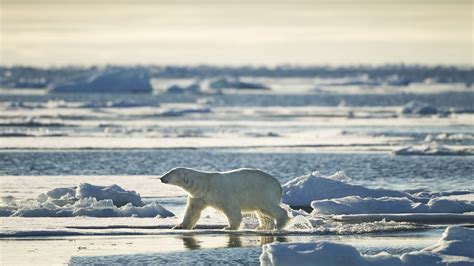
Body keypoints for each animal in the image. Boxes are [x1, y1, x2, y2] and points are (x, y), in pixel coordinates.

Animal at [161, 167, 290, 230]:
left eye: (170, 172)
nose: (161, 178)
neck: (205, 184)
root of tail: (279, 185)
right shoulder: (198, 196)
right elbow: (192, 211)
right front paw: (179, 226)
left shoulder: (224, 194)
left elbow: (232, 211)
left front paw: (228, 227)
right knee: (262, 212)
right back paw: (263, 226)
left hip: (263, 191)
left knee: (270, 207)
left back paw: (279, 224)